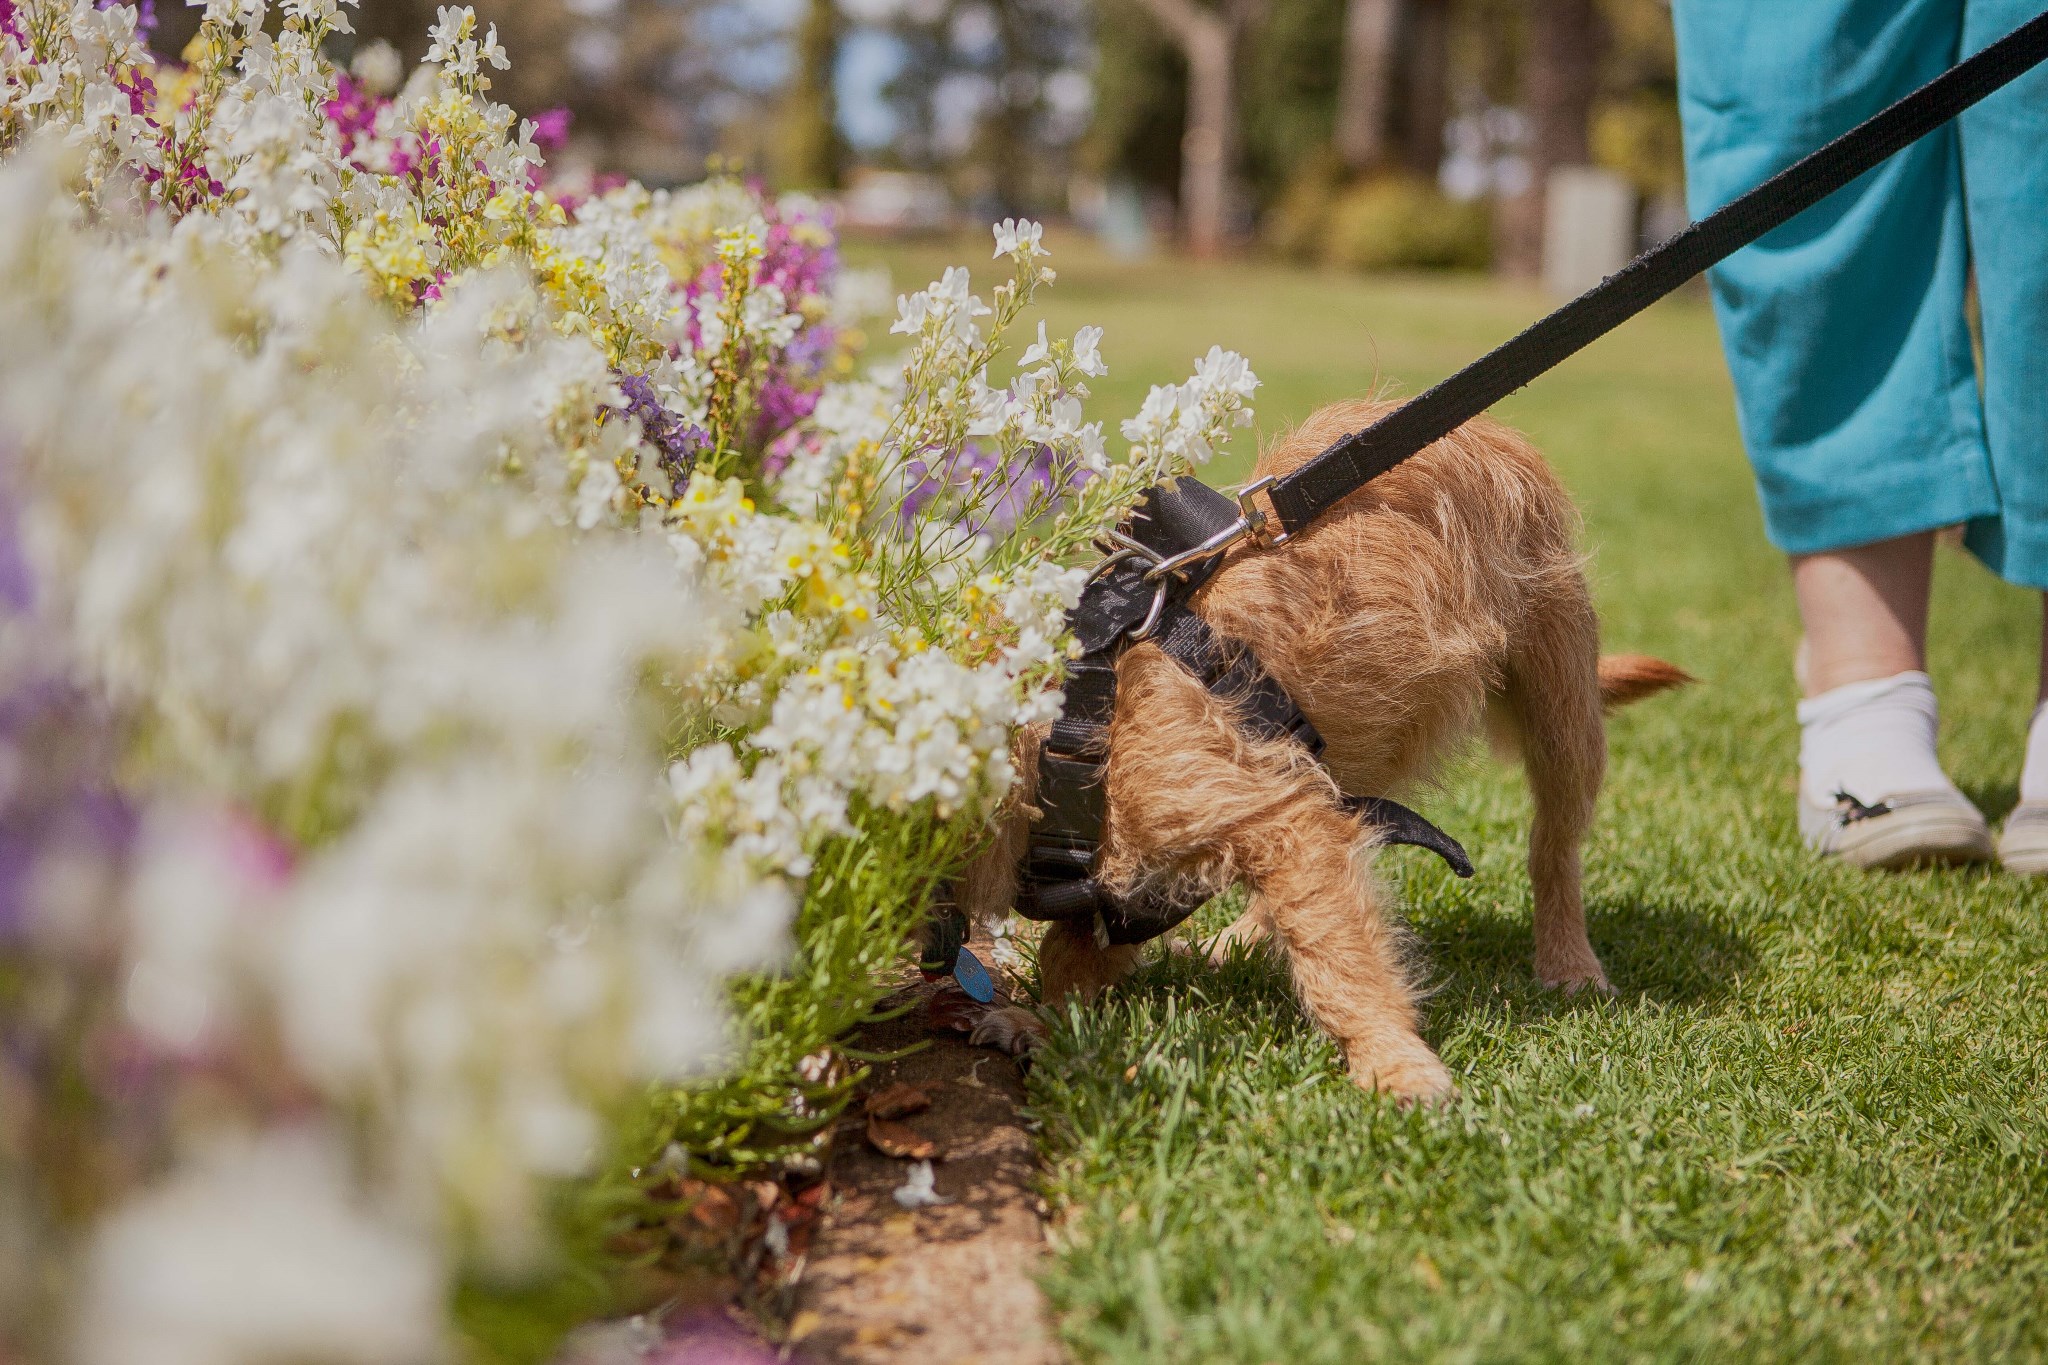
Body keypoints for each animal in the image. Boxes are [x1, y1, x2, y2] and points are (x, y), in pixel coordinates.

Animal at [954, 401, 1679, 1105]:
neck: (1075, 717)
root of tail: (1493, 431)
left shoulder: (1268, 820)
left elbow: (1338, 957)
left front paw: (1392, 1059)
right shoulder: (1168, 862)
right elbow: (1076, 952)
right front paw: (1041, 1019)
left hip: (1562, 712)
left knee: (1553, 849)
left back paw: (1569, 964)